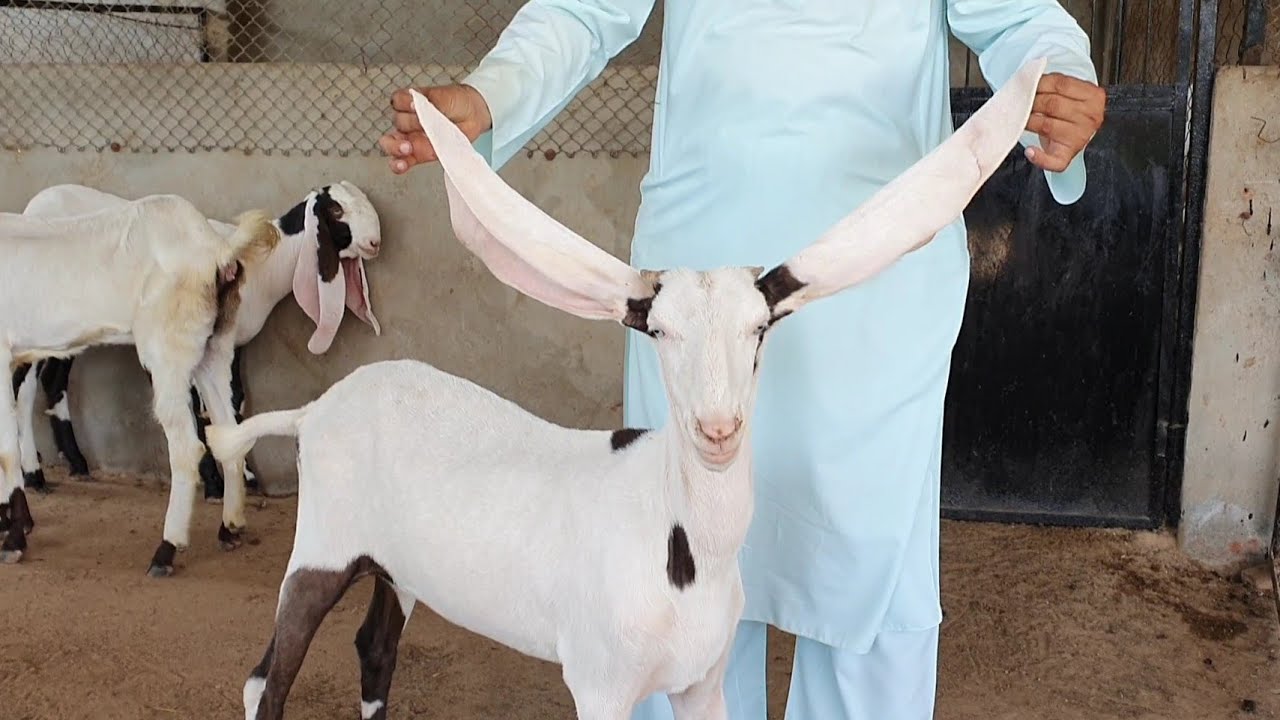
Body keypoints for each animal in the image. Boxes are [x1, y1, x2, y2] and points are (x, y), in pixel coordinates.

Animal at [0, 194, 279, 577]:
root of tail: (215, 248)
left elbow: (6, 450)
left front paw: (14, 537)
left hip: (167, 352)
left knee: (186, 448)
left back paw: (166, 550)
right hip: (214, 348)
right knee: (229, 431)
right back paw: (230, 528)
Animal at [11, 182, 382, 500]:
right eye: (336, 210)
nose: (375, 242)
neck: (263, 267)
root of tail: (35, 205)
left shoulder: (232, 343)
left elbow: (235, 401)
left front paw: (243, 474)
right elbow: (200, 407)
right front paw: (215, 483)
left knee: (53, 381)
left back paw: (76, 462)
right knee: (24, 389)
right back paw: (33, 473)